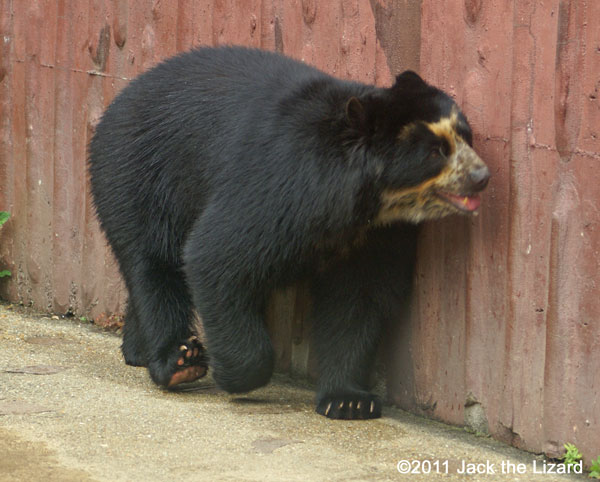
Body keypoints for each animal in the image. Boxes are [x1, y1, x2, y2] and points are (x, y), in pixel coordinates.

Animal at [90, 47, 492, 420]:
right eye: (435, 152)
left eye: (466, 136)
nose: (482, 176)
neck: (366, 201)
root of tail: (119, 98)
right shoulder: (280, 187)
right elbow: (217, 255)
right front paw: (235, 375)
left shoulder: (380, 234)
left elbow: (357, 297)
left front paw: (348, 401)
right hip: (138, 175)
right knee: (152, 262)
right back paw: (178, 360)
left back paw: (138, 351)